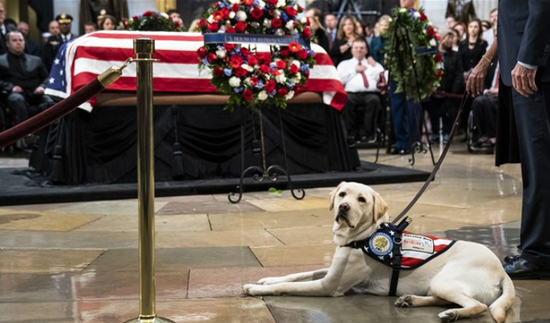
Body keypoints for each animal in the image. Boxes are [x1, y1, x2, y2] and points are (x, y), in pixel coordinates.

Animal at [244, 184, 516, 322]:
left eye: (362, 200)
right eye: (342, 195)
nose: (343, 207)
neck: (360, 237)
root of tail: (501, 270)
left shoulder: (330, 286)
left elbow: (289, 286)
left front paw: (255, 288)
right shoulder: (331, 271)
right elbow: (295, 275)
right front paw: (267, 279)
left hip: (446, 280)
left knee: (478, 305)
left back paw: (452, 314)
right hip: (439, 285)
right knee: (444, 298)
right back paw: (410, 300)